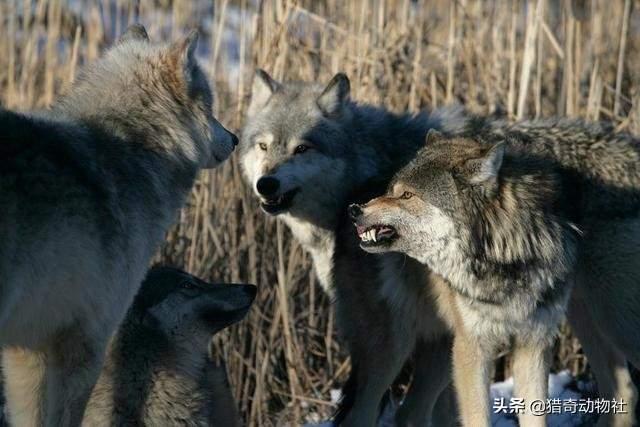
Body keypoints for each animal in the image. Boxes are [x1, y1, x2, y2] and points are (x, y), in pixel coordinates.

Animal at [352, 118, 640, 427]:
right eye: (392, 190)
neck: (510, 254)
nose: (355, 210)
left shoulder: (534, 344)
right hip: (396, 353)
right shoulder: (473, 347)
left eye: (407, 195)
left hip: (613, 323)